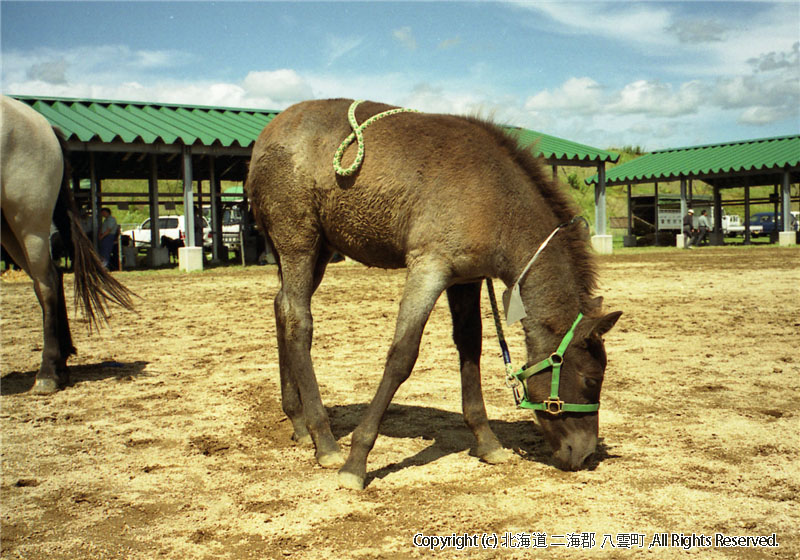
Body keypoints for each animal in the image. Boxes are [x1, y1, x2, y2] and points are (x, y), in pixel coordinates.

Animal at [0, 96, 134, 394]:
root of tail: (42, 123)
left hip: (27, 219)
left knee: (47, 282)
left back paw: (49, 372)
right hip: (8, 227)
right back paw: (61, 363)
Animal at [247, 98, 620, 488]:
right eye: (592, 379)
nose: (586, 455)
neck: (497, 202)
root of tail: (267, 136)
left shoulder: (465, 279)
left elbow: (470, 348)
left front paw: (487, 441)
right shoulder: (428, 268)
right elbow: (402, 356)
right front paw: (356, 462)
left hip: (319, 250)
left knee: (281, 307)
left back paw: (299, 421)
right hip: (299, 243)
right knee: (298, 321)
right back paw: (324, 439)